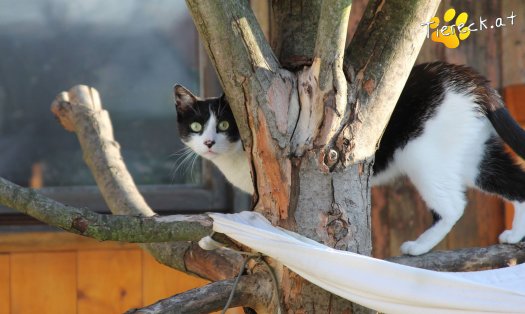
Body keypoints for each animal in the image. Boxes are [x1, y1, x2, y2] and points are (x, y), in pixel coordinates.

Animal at [174, 62, 524, 256]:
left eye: (223, 125)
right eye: (196, 126)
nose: (208, 142)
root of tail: (471, 79)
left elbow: (253, 225)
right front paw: (214, 242)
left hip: (424, 156)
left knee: (453, 206)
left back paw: (418, 246)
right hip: (474, 153)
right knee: (516, 183)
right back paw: (515, 236)